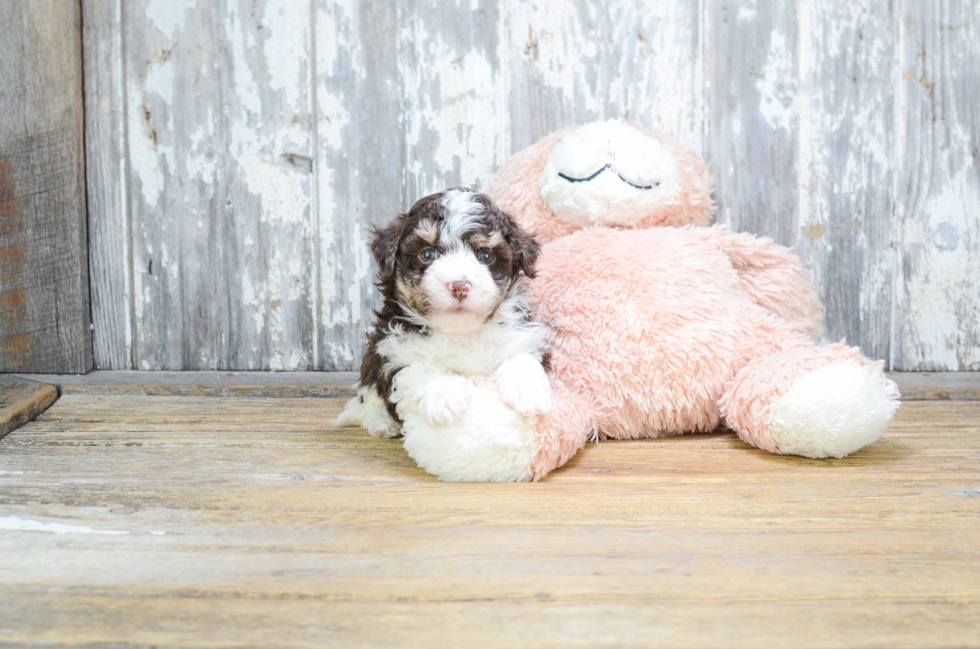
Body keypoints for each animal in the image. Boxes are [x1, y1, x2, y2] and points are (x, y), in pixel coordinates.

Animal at [336, 187, 552, 440]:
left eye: (486, 256)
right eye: (428, 254)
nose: (459, 285)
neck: (460, 331)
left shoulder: (522, 334)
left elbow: (522, 355)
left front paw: (530, 392)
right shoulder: (390, 351)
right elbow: (415, 368)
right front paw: (444, 396)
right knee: (366, 395)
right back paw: (381, 422)